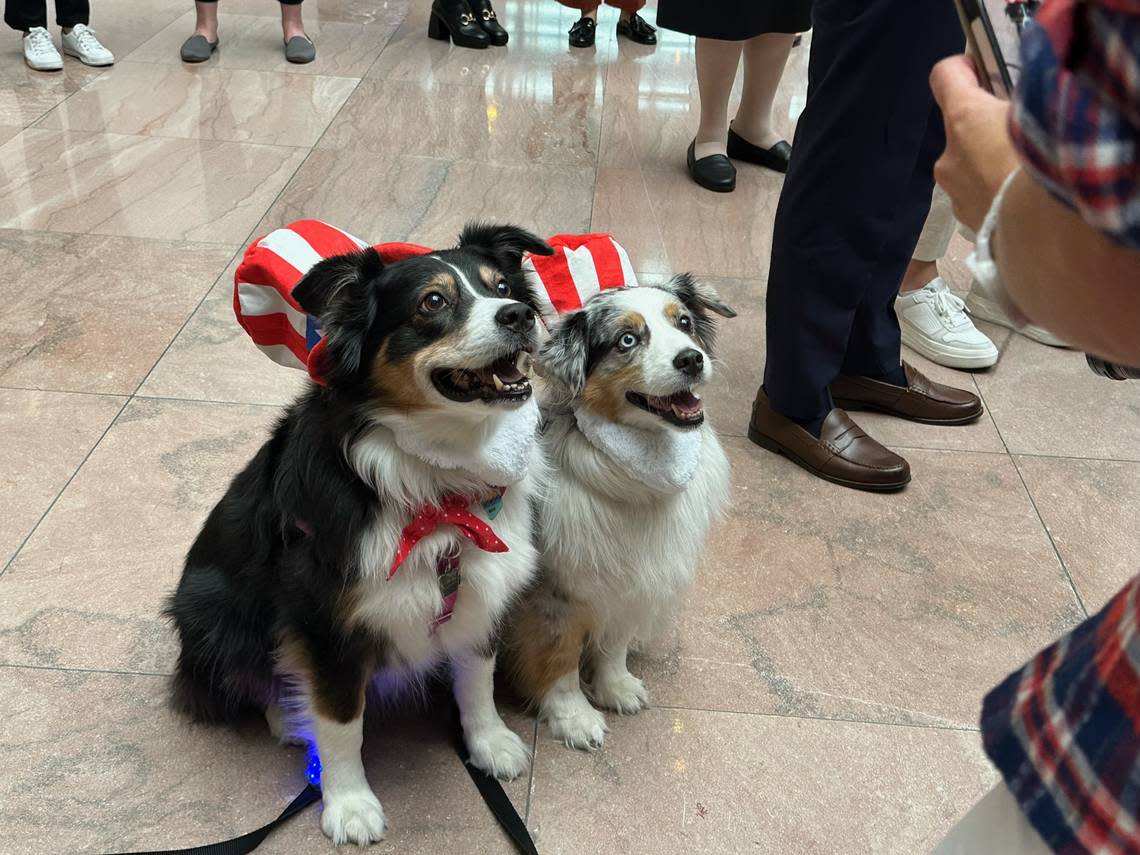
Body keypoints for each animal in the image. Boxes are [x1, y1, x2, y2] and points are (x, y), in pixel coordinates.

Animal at [166, 224, 554, 848]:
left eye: (501, 287)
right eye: (433, 302)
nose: (518, 315)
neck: (441, 485)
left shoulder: (478, 587)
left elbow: (478, 677)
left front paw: (490, 743)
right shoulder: (323, 620)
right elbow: (341, 723)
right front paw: (348, 805)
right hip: (210, 607)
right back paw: (286, 713)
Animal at [503, 279, 734, 747]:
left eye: (684, 323)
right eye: (627, 340)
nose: (691, 359)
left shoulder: (629, 578)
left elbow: (615, 642)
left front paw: (615, 687)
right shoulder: (555, 594)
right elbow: (560, 658)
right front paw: (574, 717)